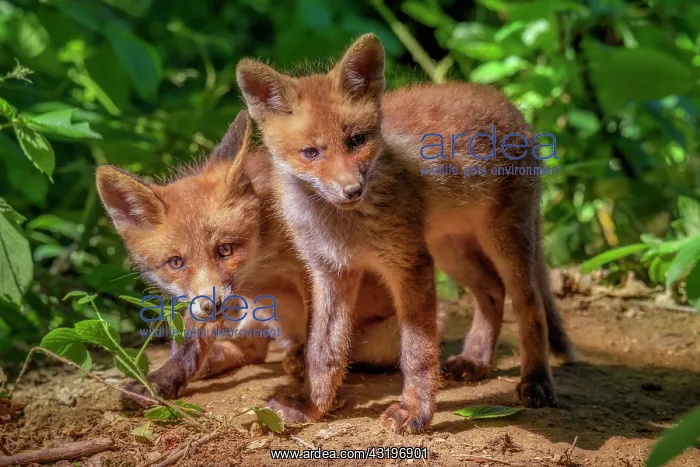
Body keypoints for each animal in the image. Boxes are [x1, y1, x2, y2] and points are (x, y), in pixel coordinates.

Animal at [95, 111, 403, 401]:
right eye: (176, 263)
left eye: (225, 249)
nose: (213, 304)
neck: (260, 262)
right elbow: (191, 342)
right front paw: (162, 380)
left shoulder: (311, 269)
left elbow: (317, 331)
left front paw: (314, 381)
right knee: (250, 350)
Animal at [235, 34, 575, 433]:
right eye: (311, 152)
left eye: (357, 140)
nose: (353, 190)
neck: (344, 227)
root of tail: (505, 100)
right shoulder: (331, 271)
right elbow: (323, 351)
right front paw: (312, 407)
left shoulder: (408, 265)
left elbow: (416, 352)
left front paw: (415, 412)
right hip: (449, 250)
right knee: (492, 291)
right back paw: (477, 361)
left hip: (503, 240)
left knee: (529, 304)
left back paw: (536, 381)